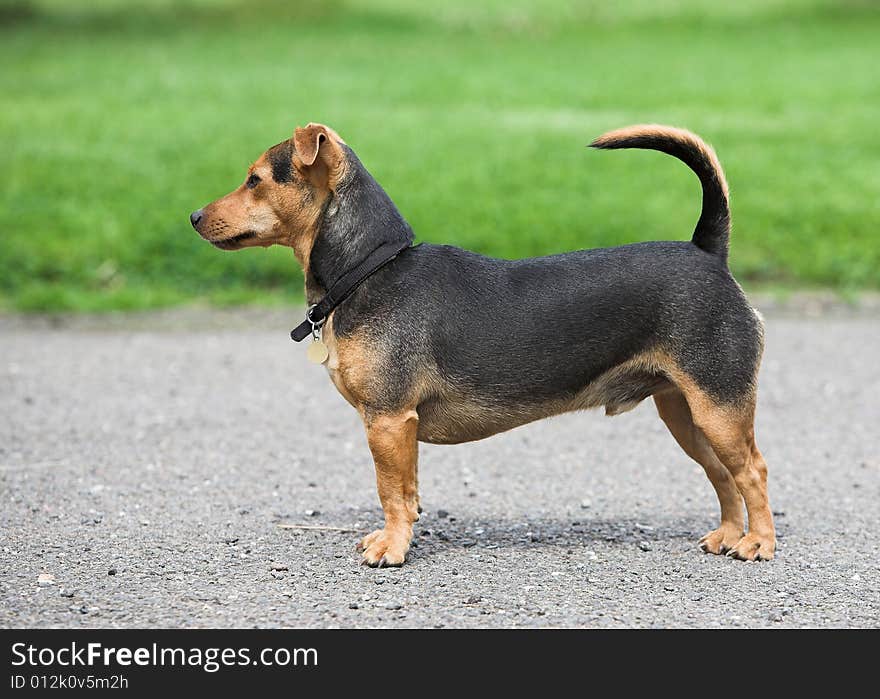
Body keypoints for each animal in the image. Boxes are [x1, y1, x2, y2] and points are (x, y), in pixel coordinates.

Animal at [189, 123, 772, 568]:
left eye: (255, 180)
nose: (193, 217)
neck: (371, 268)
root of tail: (707, 252)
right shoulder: (397, 429)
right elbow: (408, 493)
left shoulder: (388, 420)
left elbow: (391, 493)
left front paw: (391, 549)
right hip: (686, 413)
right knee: (723, 475)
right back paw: (728, 536)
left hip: (718, 408)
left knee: (753, 472)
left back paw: (758, 544)